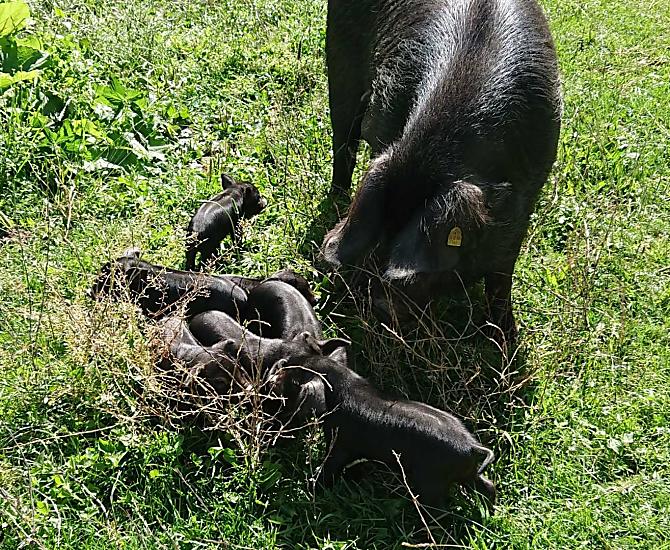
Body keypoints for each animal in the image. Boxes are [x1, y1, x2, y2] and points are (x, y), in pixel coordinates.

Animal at [269, 351, 496, 506]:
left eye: (295, 375)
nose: (280, 364)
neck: (342, 389)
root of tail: (472, 445)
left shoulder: (341, 443)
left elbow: (331, 464)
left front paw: (310, 485)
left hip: (432, 482)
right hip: (468, 473)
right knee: (488, 486)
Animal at [322, 0, 562, 345]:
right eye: (387, 230)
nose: (379, 302)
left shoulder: (529, 193)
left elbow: (502, 276)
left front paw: (507, 339)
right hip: (338, 62)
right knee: (343, 145)